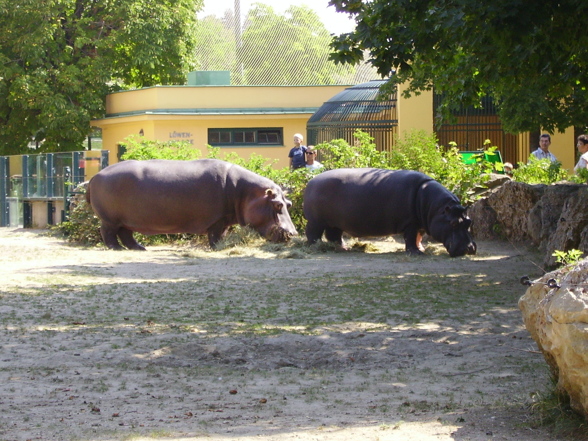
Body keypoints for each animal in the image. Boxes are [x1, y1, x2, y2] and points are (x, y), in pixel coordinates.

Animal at [86, 158, 298, 249]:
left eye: (289, 203)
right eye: (277, 205)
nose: (294, 233)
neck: (245, 191)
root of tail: (95, 176)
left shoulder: (224, 219)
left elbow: (222, 234)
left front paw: (222, 246)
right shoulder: (217, 219)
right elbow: (215, 235)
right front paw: (217, 247)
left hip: (126, 219)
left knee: (126, 234)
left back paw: (139, 248)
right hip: (110, 219)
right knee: (108, 233)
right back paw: (117, 249)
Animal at [304, 168, 478, 256]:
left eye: (469, 221)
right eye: (453, 223)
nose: (470, 248)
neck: (437, 208)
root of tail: (311, 181)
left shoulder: (420, 223)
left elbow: (419, 237)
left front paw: (421, 249)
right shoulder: (411, 223)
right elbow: (410, 238)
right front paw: (416, 253)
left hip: (335, 222)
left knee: (334, 235)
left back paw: (343, 248)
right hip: (316, 222)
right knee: (313, 234)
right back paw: (315, 247)